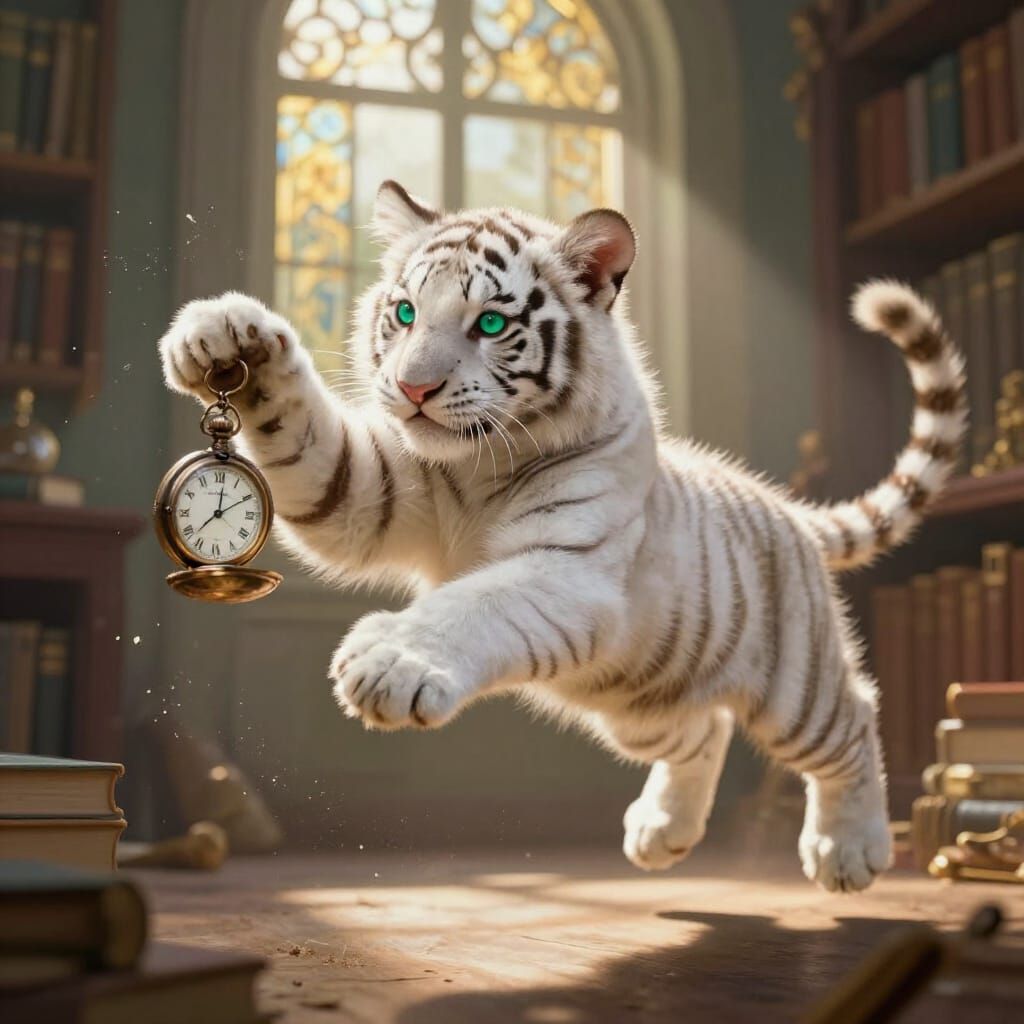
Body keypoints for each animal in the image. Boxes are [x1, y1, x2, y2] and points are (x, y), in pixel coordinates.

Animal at [158, 180, 966, 891]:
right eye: (406, 311)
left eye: (489, 324)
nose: (414, 388)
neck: (478, 465)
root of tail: (788, 509)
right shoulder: (370, 491)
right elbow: (307, 440)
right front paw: (226, 335)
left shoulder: (568, 571)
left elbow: (473, 604)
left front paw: (391, 662)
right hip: (642, 704)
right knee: (703, 734)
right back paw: (661, 831)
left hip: (793, 685)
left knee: (852, 720)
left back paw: (849, 850)